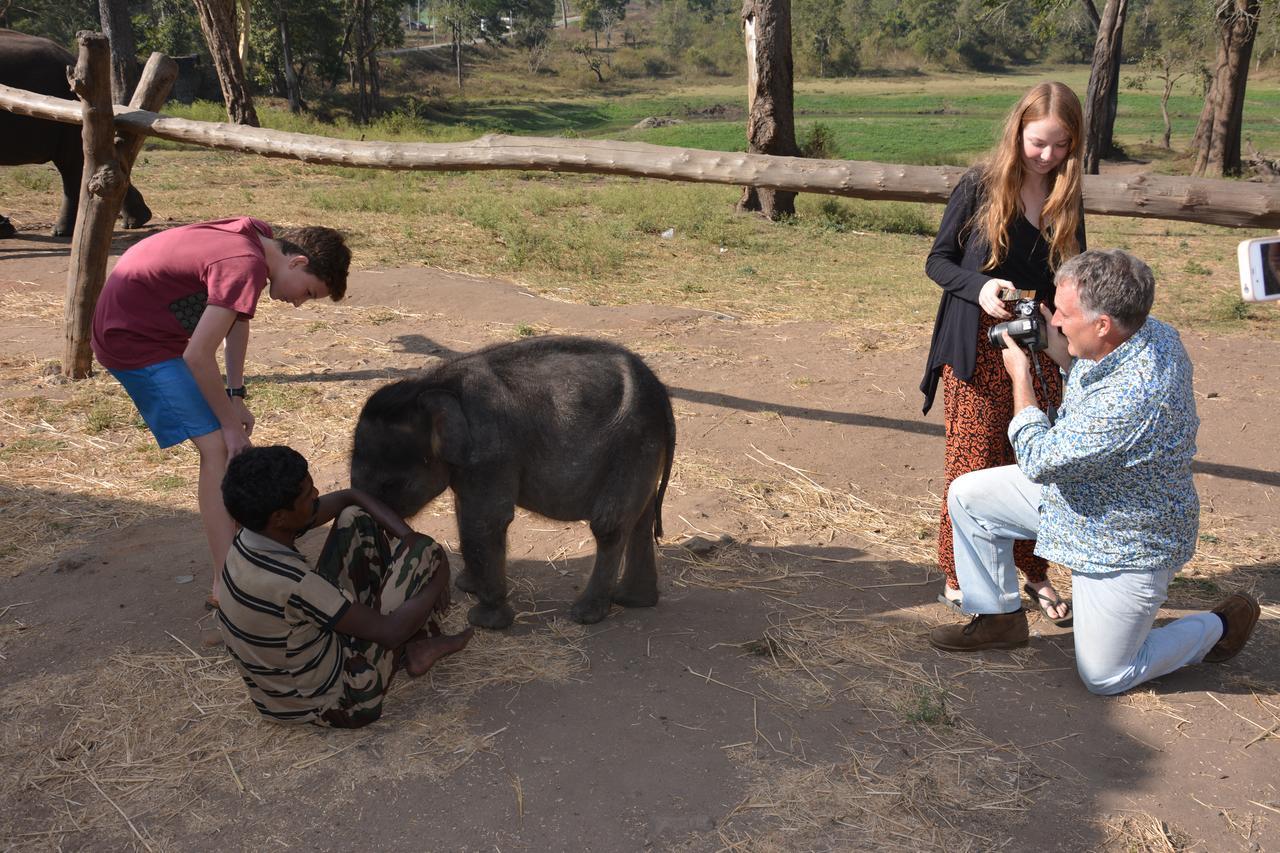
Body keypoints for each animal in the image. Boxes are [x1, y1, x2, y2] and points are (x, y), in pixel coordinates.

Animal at [0, 28, 151, 236]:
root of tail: (70, 57)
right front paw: (5, 228)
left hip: (68, 115)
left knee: (72, 167)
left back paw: (62, 231)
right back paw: (138, 220)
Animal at [345, 335, 675, 627]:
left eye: (390, 485)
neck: (430, 387)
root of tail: (661, 393)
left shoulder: (491, 451)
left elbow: (484, 521)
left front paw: (484, 621)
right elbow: (464, 510)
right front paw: (467, 586)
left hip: (631, 442)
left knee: (610, 525)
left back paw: (586, 614)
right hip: (642, 448)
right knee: (641, 518)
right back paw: (634, 600)